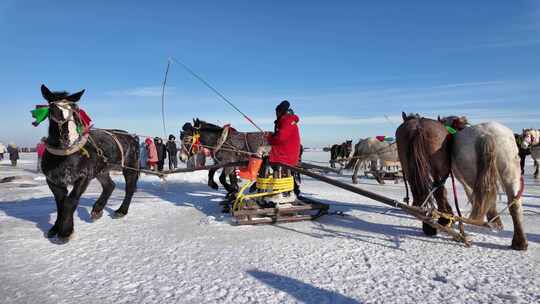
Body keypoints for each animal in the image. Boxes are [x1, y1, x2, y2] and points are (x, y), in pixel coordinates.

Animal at [39, 85, 139, 242]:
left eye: (76, 109)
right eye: (54, 110)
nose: (70, 138)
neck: (65, 155)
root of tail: (131, 137)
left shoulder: (83, 177)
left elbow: (70, 201)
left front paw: (66, 231)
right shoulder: (53, 181)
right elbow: (60, 203)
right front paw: (55, 227)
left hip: (130, 166)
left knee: (129, 188)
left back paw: (121, 210)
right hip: (101, 170)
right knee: (110, 185)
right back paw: (97, 209)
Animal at [440, 117, 524, 251]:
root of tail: (485, 135)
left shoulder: (462, 180)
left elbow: (471, 196)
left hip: (472, 176)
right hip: (510, 171)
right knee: (514, 203)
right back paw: (519, 242)